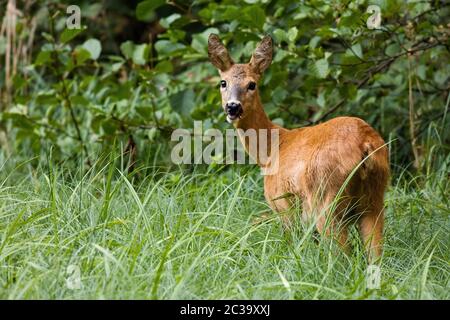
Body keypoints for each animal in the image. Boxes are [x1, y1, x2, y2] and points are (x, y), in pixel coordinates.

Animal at [208, 34, 390, 262]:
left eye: (252, 84)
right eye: (223, 82)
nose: (233, 106)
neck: (271, 150)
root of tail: (365, 144)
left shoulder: (283, 204)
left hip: (327, 197)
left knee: (341, 254)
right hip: (375, 198)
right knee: (375, 254)